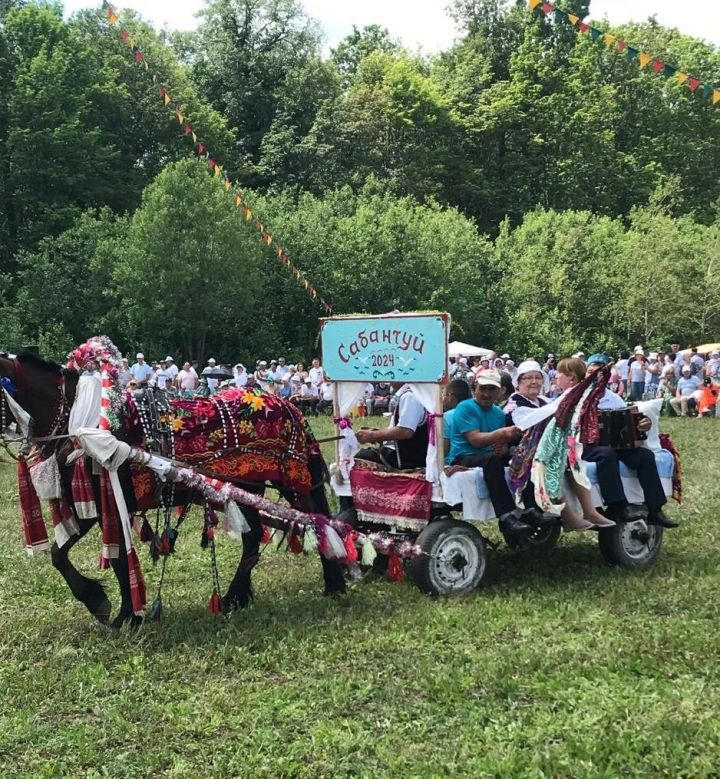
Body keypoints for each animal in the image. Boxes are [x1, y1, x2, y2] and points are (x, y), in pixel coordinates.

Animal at [0, 338, 348, 632]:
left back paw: (333, 583)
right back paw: (234, 598)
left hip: (293, 481)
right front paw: (104, 603)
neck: (81, 418)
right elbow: (61, 555)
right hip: (247, 489)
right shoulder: (90, 506)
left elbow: (115, 560)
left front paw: (123, 614)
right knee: (252, 543)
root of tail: (287, 404)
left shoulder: (106, 504)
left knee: (317, 520)